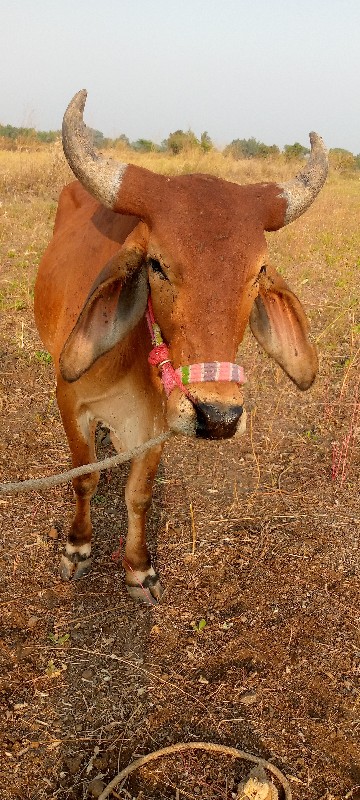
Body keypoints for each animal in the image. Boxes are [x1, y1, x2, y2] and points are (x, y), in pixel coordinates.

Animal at [34, 90, 330, 600]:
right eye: (157, 264)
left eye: (259, 271)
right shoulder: (69, 400)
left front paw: (138, 568)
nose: (218, 417)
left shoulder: (159, 424)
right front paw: (77, 547)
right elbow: (85, 478)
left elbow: (140, 494)